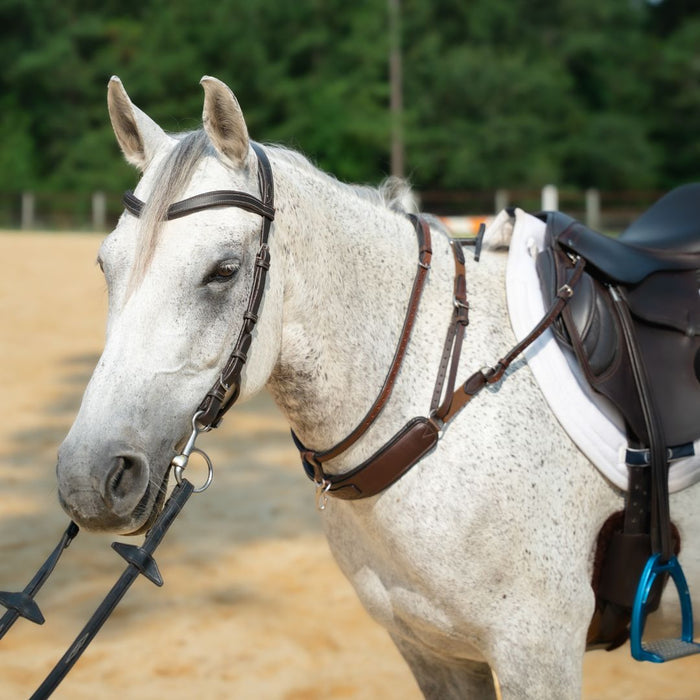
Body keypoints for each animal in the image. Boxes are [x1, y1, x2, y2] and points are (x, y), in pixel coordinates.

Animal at [55, 75, 700, 698]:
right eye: (106, 264)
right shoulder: (431, 650)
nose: (89, 478)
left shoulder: (537, 655)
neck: (435, 412)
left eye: (225, 271)